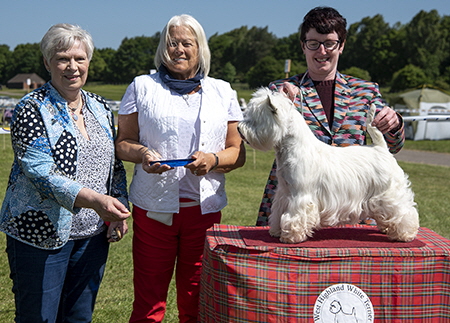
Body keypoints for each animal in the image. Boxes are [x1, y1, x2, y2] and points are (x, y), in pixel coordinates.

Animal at [239, 87, 418, 244]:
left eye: (255, 119)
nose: (239, 129)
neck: (291, 147)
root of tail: (381, 148)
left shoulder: (300, 195)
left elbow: (295, 216)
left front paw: (290, 237)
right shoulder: (284, 192)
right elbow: (278, 213)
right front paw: (276, 231)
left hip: (389, 193)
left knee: (405, 211)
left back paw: (405, 234)